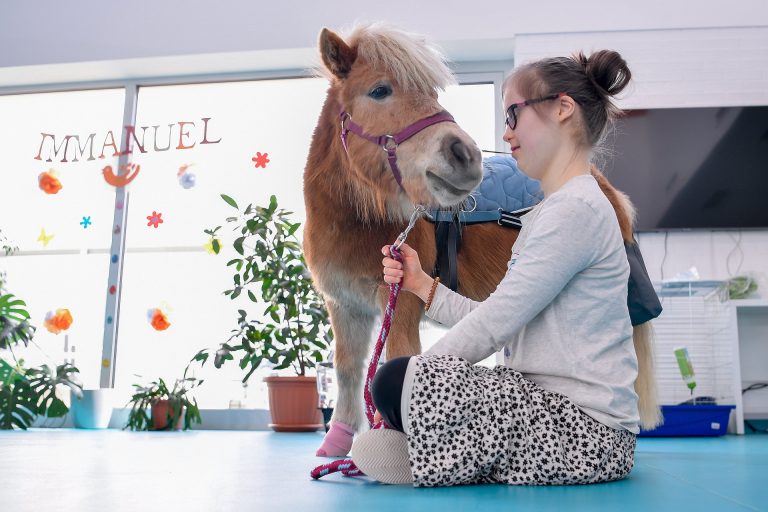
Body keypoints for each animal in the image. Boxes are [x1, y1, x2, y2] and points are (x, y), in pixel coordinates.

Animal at [302, 24, 660, 456]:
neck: (357, 223)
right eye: (379, 90)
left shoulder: (400, 307)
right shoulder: (344, 307)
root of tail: (604, 185)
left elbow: (397, 358)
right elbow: (348, 369)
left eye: (432, 92)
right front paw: (337, 442)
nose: (464, 155)